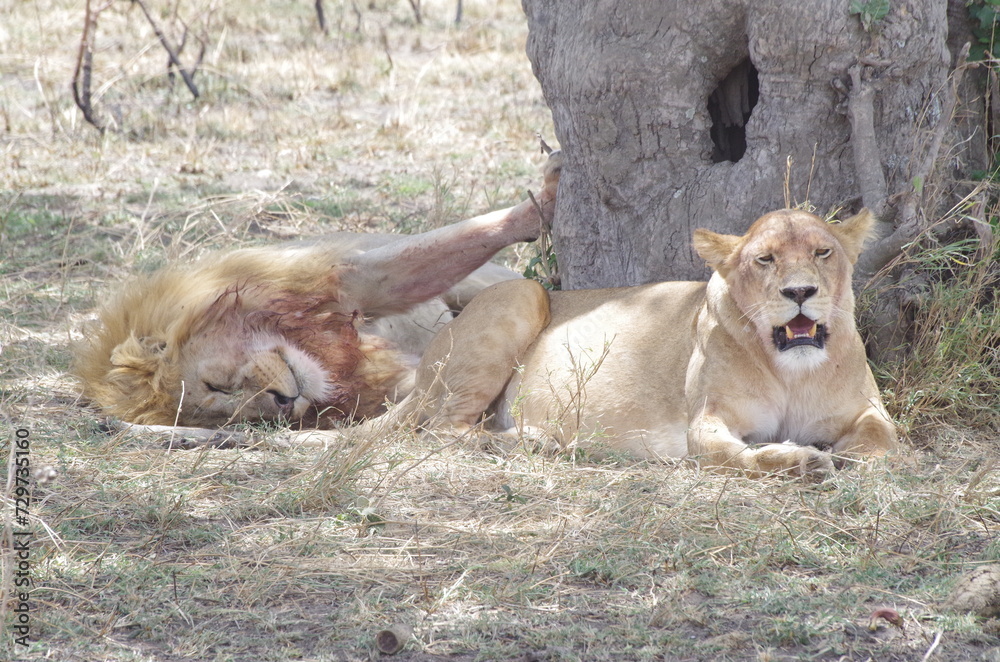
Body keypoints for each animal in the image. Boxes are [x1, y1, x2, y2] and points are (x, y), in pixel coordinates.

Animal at [74, 153, 562, 432]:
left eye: (215, 385)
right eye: (229, 413)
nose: (284, 402)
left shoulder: (348, 279)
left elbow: (462, 239)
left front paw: (546, 197)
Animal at [370, 207, 899, 478]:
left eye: (823, 251)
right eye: (765, 259)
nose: (800, 292)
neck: (792, 370)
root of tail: (423, 372)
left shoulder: (868, 410)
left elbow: (884, 439)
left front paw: (846, 455)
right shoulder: (706, 422)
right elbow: (735, 455)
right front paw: (801, 460)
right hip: (522, 294)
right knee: (439, 430)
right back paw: (536, 440)